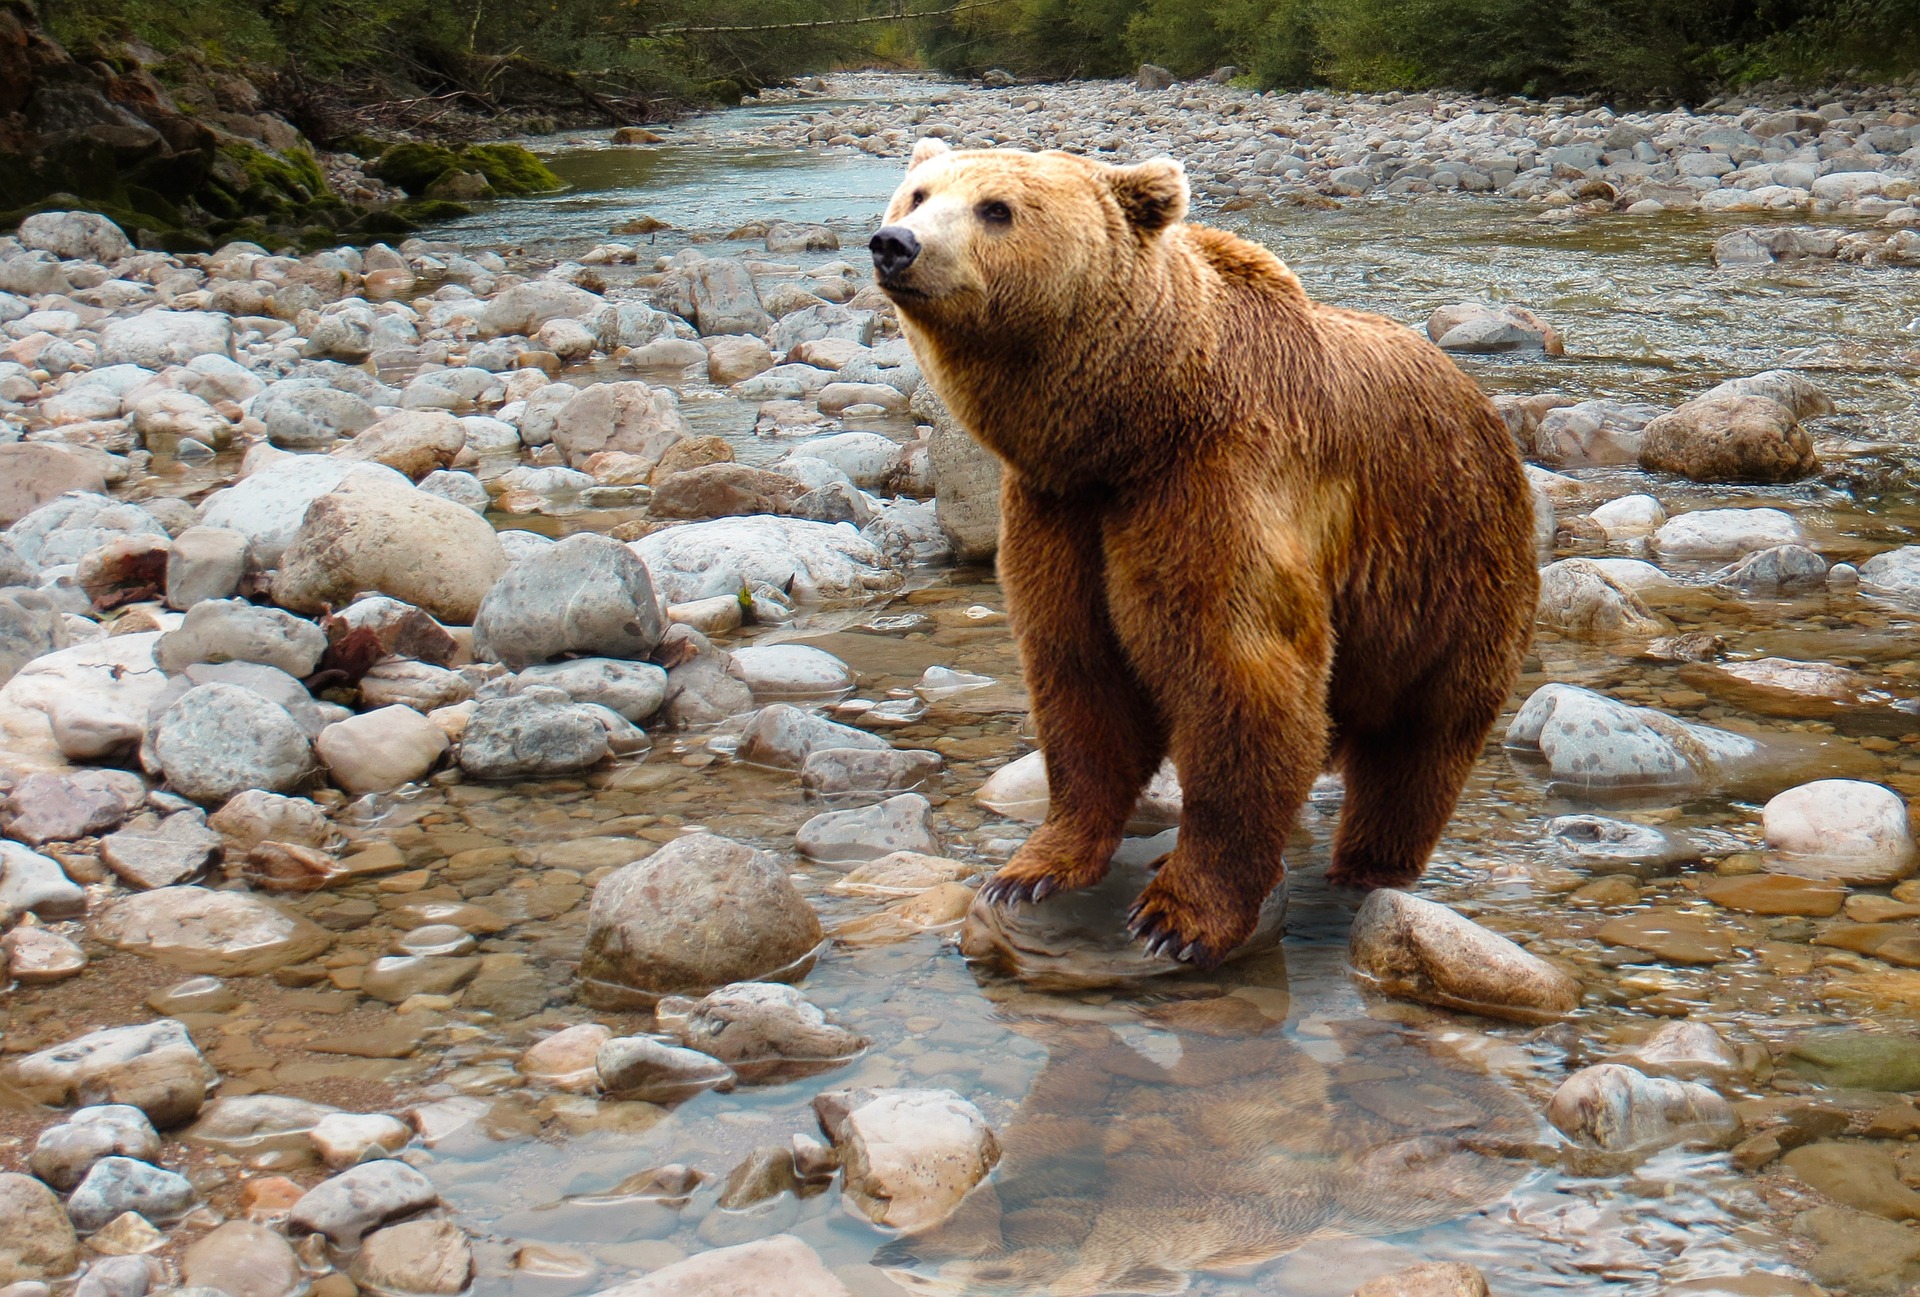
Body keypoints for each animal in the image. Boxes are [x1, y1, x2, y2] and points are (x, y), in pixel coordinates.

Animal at [869, 138, 1539, 967]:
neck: (1132, 424)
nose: (896, 244)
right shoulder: (1062, 512)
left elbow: (1240, 679)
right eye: (918, 194)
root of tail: (1485, 405)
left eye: (996, 208)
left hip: (1450, 571)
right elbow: (1079, 677)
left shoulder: (1214, 483)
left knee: (1420, 743)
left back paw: (1366, 863)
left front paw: (1177, 915)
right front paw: (1032, 869)